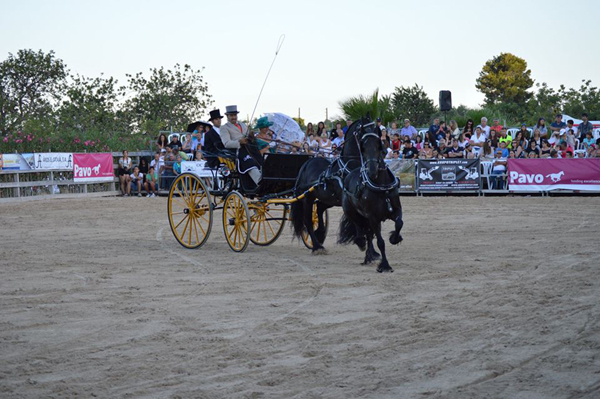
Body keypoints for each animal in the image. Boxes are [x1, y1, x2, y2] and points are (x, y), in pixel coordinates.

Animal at [292, 118, 376, 253]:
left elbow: (366, 224)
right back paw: (317, 246)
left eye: (375, 128)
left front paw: (372, 251)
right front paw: (361, 242)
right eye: (363, 129)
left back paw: (320, 234)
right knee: (308, 220)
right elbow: (359, 222)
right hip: (308, 198)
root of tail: (307, 163)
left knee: (319, 208)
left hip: (329, 199)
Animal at [338, 127, 404, 272]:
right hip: (353, 212)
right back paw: (361, 244)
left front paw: (395, 238)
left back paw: (369, 256)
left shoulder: (396, 209)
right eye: (362, 148)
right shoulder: (373, 217)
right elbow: (380, 242)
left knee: (368, 234)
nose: (372, 171)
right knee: (360, 229)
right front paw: (385, 265)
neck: (382, 186)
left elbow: (399, 223)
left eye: (379, 145)